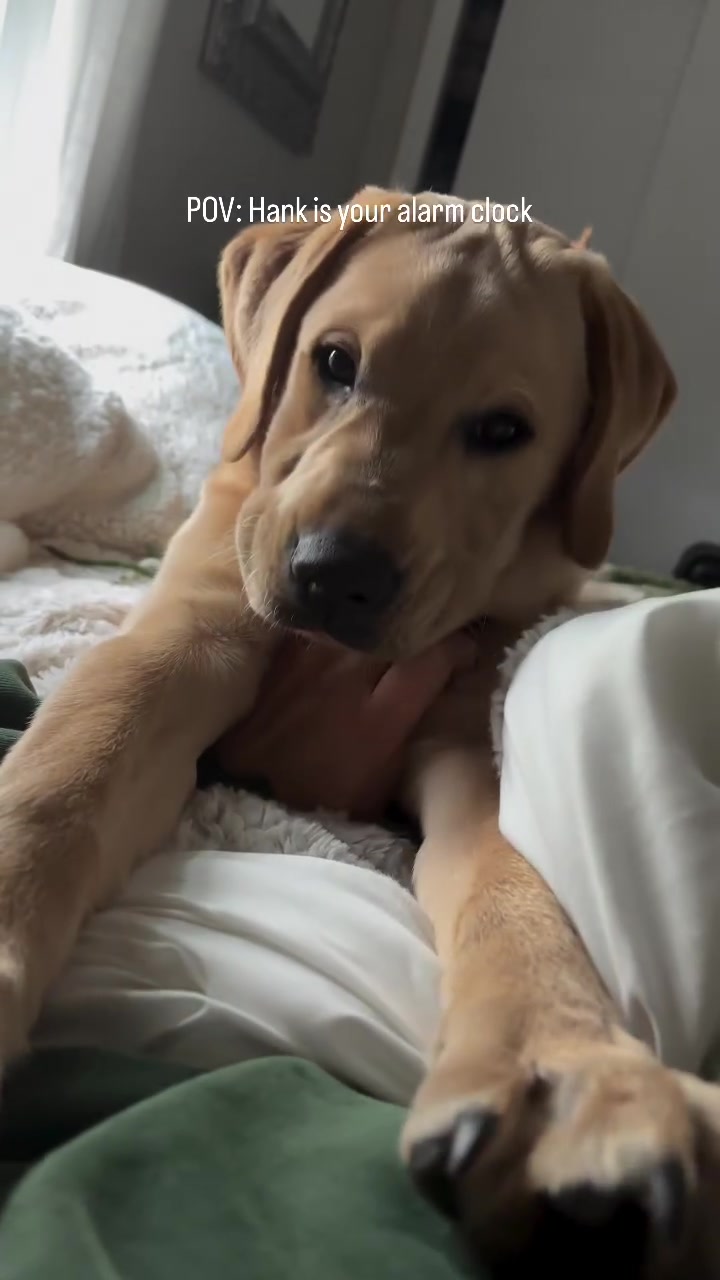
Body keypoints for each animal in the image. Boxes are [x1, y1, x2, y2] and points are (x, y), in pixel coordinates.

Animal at [1, 186, 719, 1275]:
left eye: (503, 428)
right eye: (335, 363)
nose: (336, 576)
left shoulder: (462, 739)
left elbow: (515, 894)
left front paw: (565, 1072)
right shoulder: (189, 634)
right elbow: (67, 770)